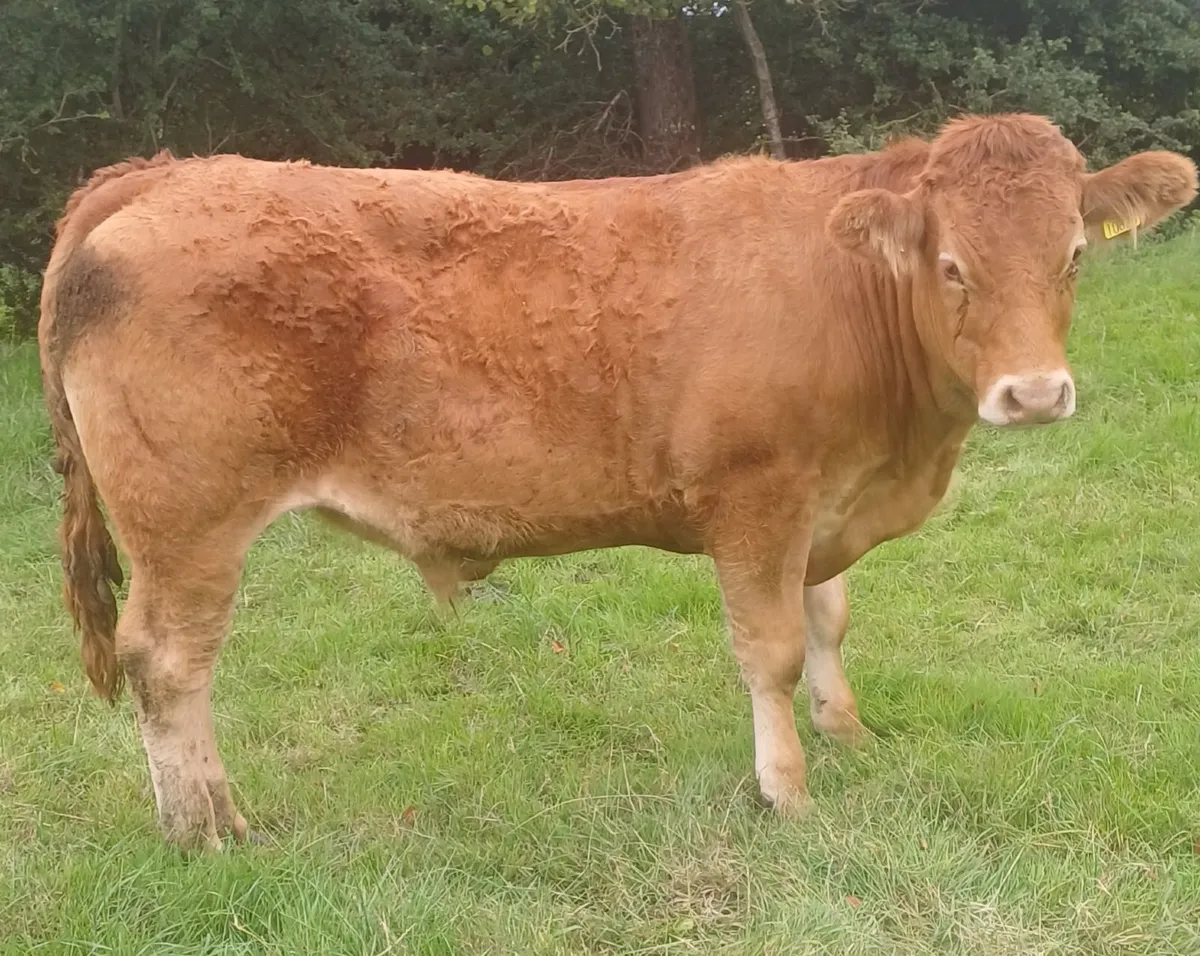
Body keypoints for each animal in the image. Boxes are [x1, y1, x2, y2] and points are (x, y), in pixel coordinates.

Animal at [38, 113, 1196, 850]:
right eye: (952, 265)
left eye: (1075, 253)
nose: (1035, 394)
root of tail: (168, 170)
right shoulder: (756, 498)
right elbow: (771, 649)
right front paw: (788, 793)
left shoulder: (824, 499)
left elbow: (829, 619)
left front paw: (847, 732)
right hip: (188, 526)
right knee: (169, 665)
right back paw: (207, 830)